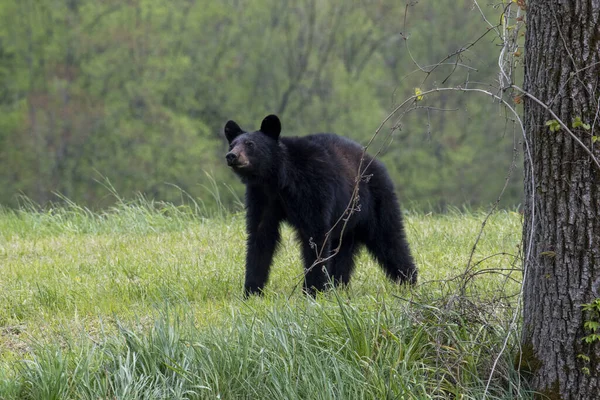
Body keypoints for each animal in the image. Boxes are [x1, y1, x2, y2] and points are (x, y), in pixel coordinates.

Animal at [223, 114, 414, 296]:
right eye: (232, 144)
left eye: (250, 144)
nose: (231, 156)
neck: (277, 179)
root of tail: (377, 162)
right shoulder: (261, 196)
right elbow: (260, 235)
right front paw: (251, 290)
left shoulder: (313, 189)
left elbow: (315, 234)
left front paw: (312, 290)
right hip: (346, 223)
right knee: (343, 253)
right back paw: (338, 286)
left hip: (375, 201)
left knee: (389, 238)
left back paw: (408, 280)